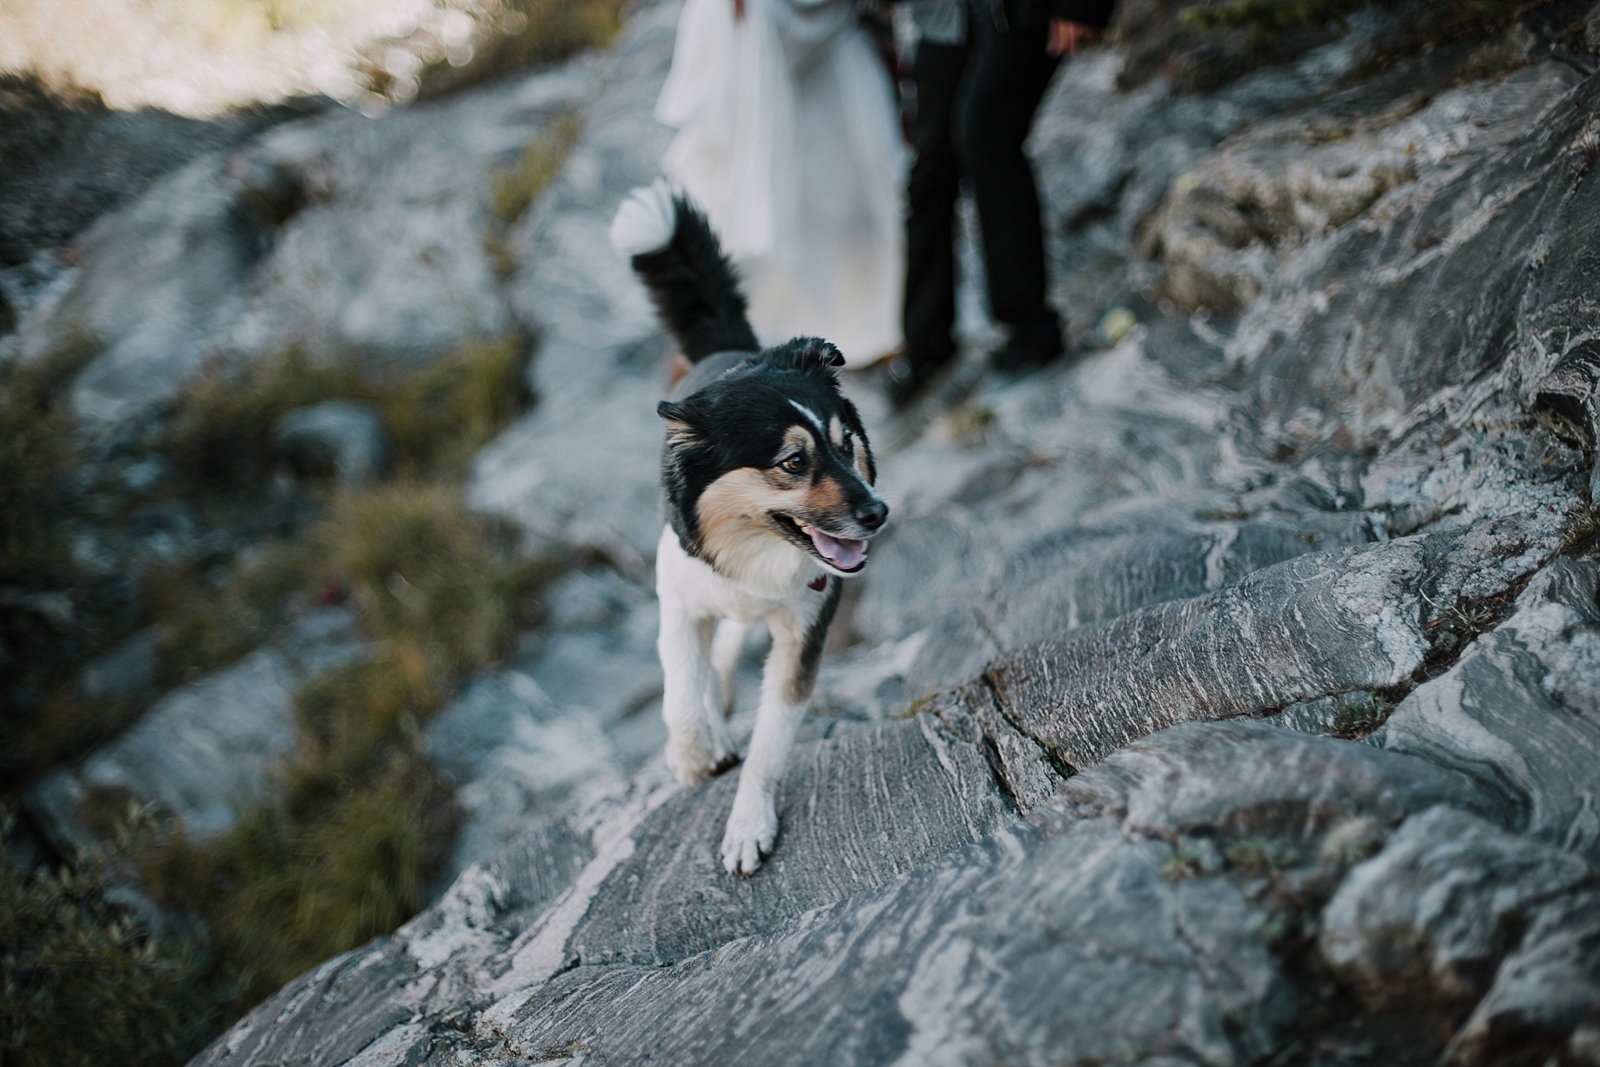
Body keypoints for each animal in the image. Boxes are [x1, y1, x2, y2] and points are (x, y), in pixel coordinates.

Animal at [608, 181, 889, 876]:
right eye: (793, 462)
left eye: (847, 444)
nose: (877, 514)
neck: (756, 547)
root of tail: (731, 351)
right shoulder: (678, 593)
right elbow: (679, 690)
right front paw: (692, 756)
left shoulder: (805, 631)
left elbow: (770, 740)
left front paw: (746, 826)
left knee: (734, 634)